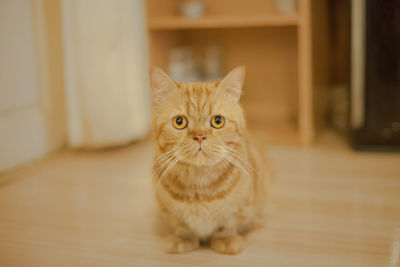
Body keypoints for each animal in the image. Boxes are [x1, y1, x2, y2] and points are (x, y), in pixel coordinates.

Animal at [150, 66, 268, 254]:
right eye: (179, 121)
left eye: (217, 121)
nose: (200, 136)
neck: (200, 186)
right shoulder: (169, 211)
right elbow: (182, 226)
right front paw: (183, 239)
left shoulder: (240, 208)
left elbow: (227, 224)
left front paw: (225, 239)